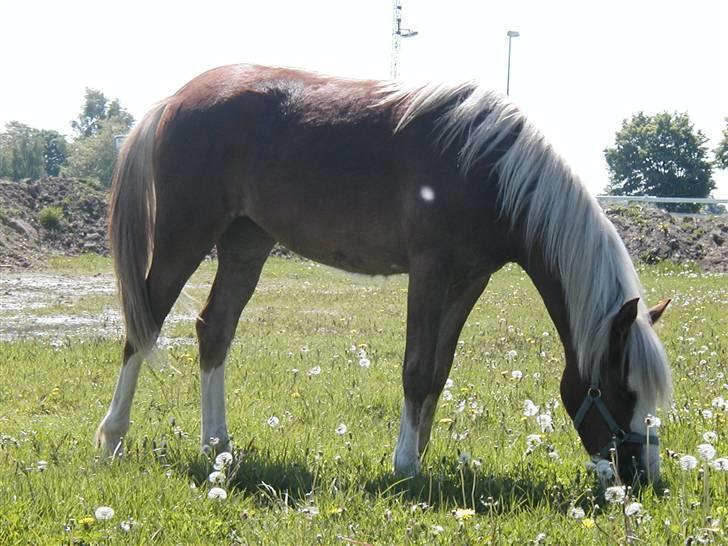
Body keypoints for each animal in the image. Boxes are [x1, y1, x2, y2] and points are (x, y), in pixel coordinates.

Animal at [96, 64, 672, 483]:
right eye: (622, 392)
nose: (644, 478)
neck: (489, 168)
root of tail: (175, 99)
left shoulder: (470, 279)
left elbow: (439, 369)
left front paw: (422, 452)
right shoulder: (430, 270)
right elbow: (416, 369)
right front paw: (405, 465)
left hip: (245, 244)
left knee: (214, 329)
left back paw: (218, 445)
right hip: (184, 236)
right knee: (143, 325)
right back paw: (113, 437)